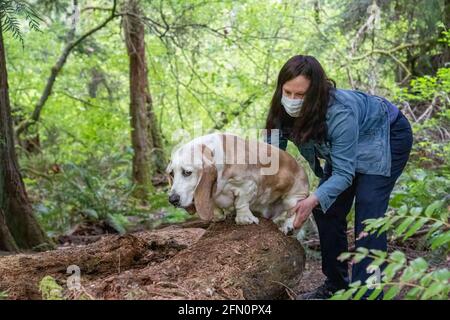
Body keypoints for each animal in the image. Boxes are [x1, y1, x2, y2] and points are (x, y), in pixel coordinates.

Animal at [165, 131, 310, 234]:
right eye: (171, 173)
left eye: (187, 172)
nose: (172, 200)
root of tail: (300, 166)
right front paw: (217, 217)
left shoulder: (247, 185)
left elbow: (241, 202)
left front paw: (244, 219)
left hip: (294, 198)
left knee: (293, 212)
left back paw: (288, 227)